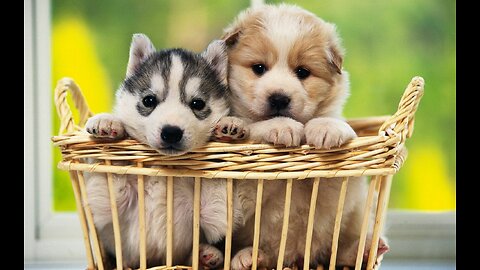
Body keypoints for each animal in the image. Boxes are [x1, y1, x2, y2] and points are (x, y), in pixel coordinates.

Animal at [83, 33, 246, 270]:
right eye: (149, 100)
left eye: (197, 103)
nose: (171, 132)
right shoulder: (107, 210)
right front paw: (108, 122)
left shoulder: (213, 215)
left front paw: (229, 125)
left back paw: (208, 255)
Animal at [223, 4, 388, 270]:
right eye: (259, 68)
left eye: (302, 72)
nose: (279, 98)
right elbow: (255, 124)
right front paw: (280, 126)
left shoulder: (335, 190)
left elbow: (332, 121)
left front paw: (326, 129)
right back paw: (248, 257)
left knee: (340, 249)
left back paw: (362, 251)